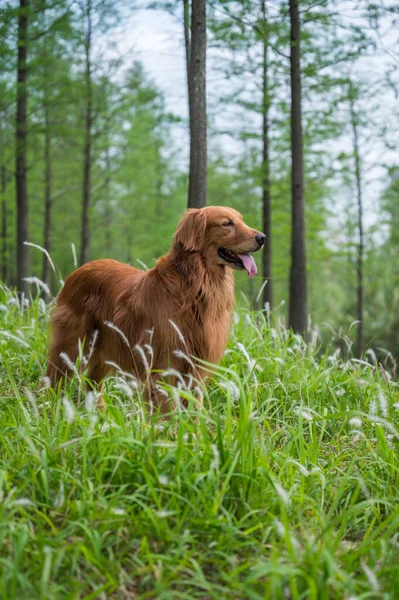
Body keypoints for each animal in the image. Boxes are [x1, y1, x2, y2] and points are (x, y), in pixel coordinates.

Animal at [46, 206, 266, 412]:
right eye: (227, 223)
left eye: (241, 220)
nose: (262, 237)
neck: (194, 287)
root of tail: (78, 270)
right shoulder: (165, 364)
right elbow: (167, 409)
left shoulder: (196, 366)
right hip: (71, 346)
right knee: (54, 381)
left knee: (92, 385)